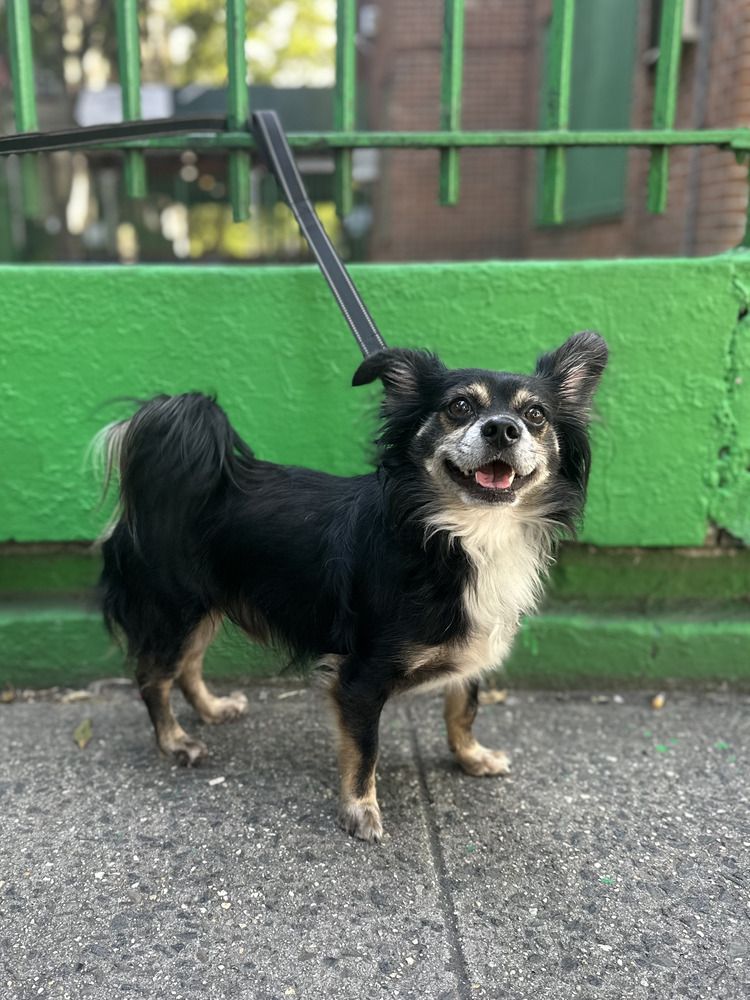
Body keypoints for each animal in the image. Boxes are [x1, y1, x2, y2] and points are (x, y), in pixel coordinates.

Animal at [95, 332, 612, 840]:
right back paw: (175, 741)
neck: (461, 537)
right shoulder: (359, 678)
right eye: (460, 406)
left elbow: (462, 707)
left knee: (186, 666)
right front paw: (361, 810)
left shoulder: (471, 649)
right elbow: (366, 749)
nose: (503, 428)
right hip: (175, 612)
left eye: (536, 415)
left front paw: (471, 757)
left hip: (205, 611)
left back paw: (211, 708)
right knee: (153, 677)